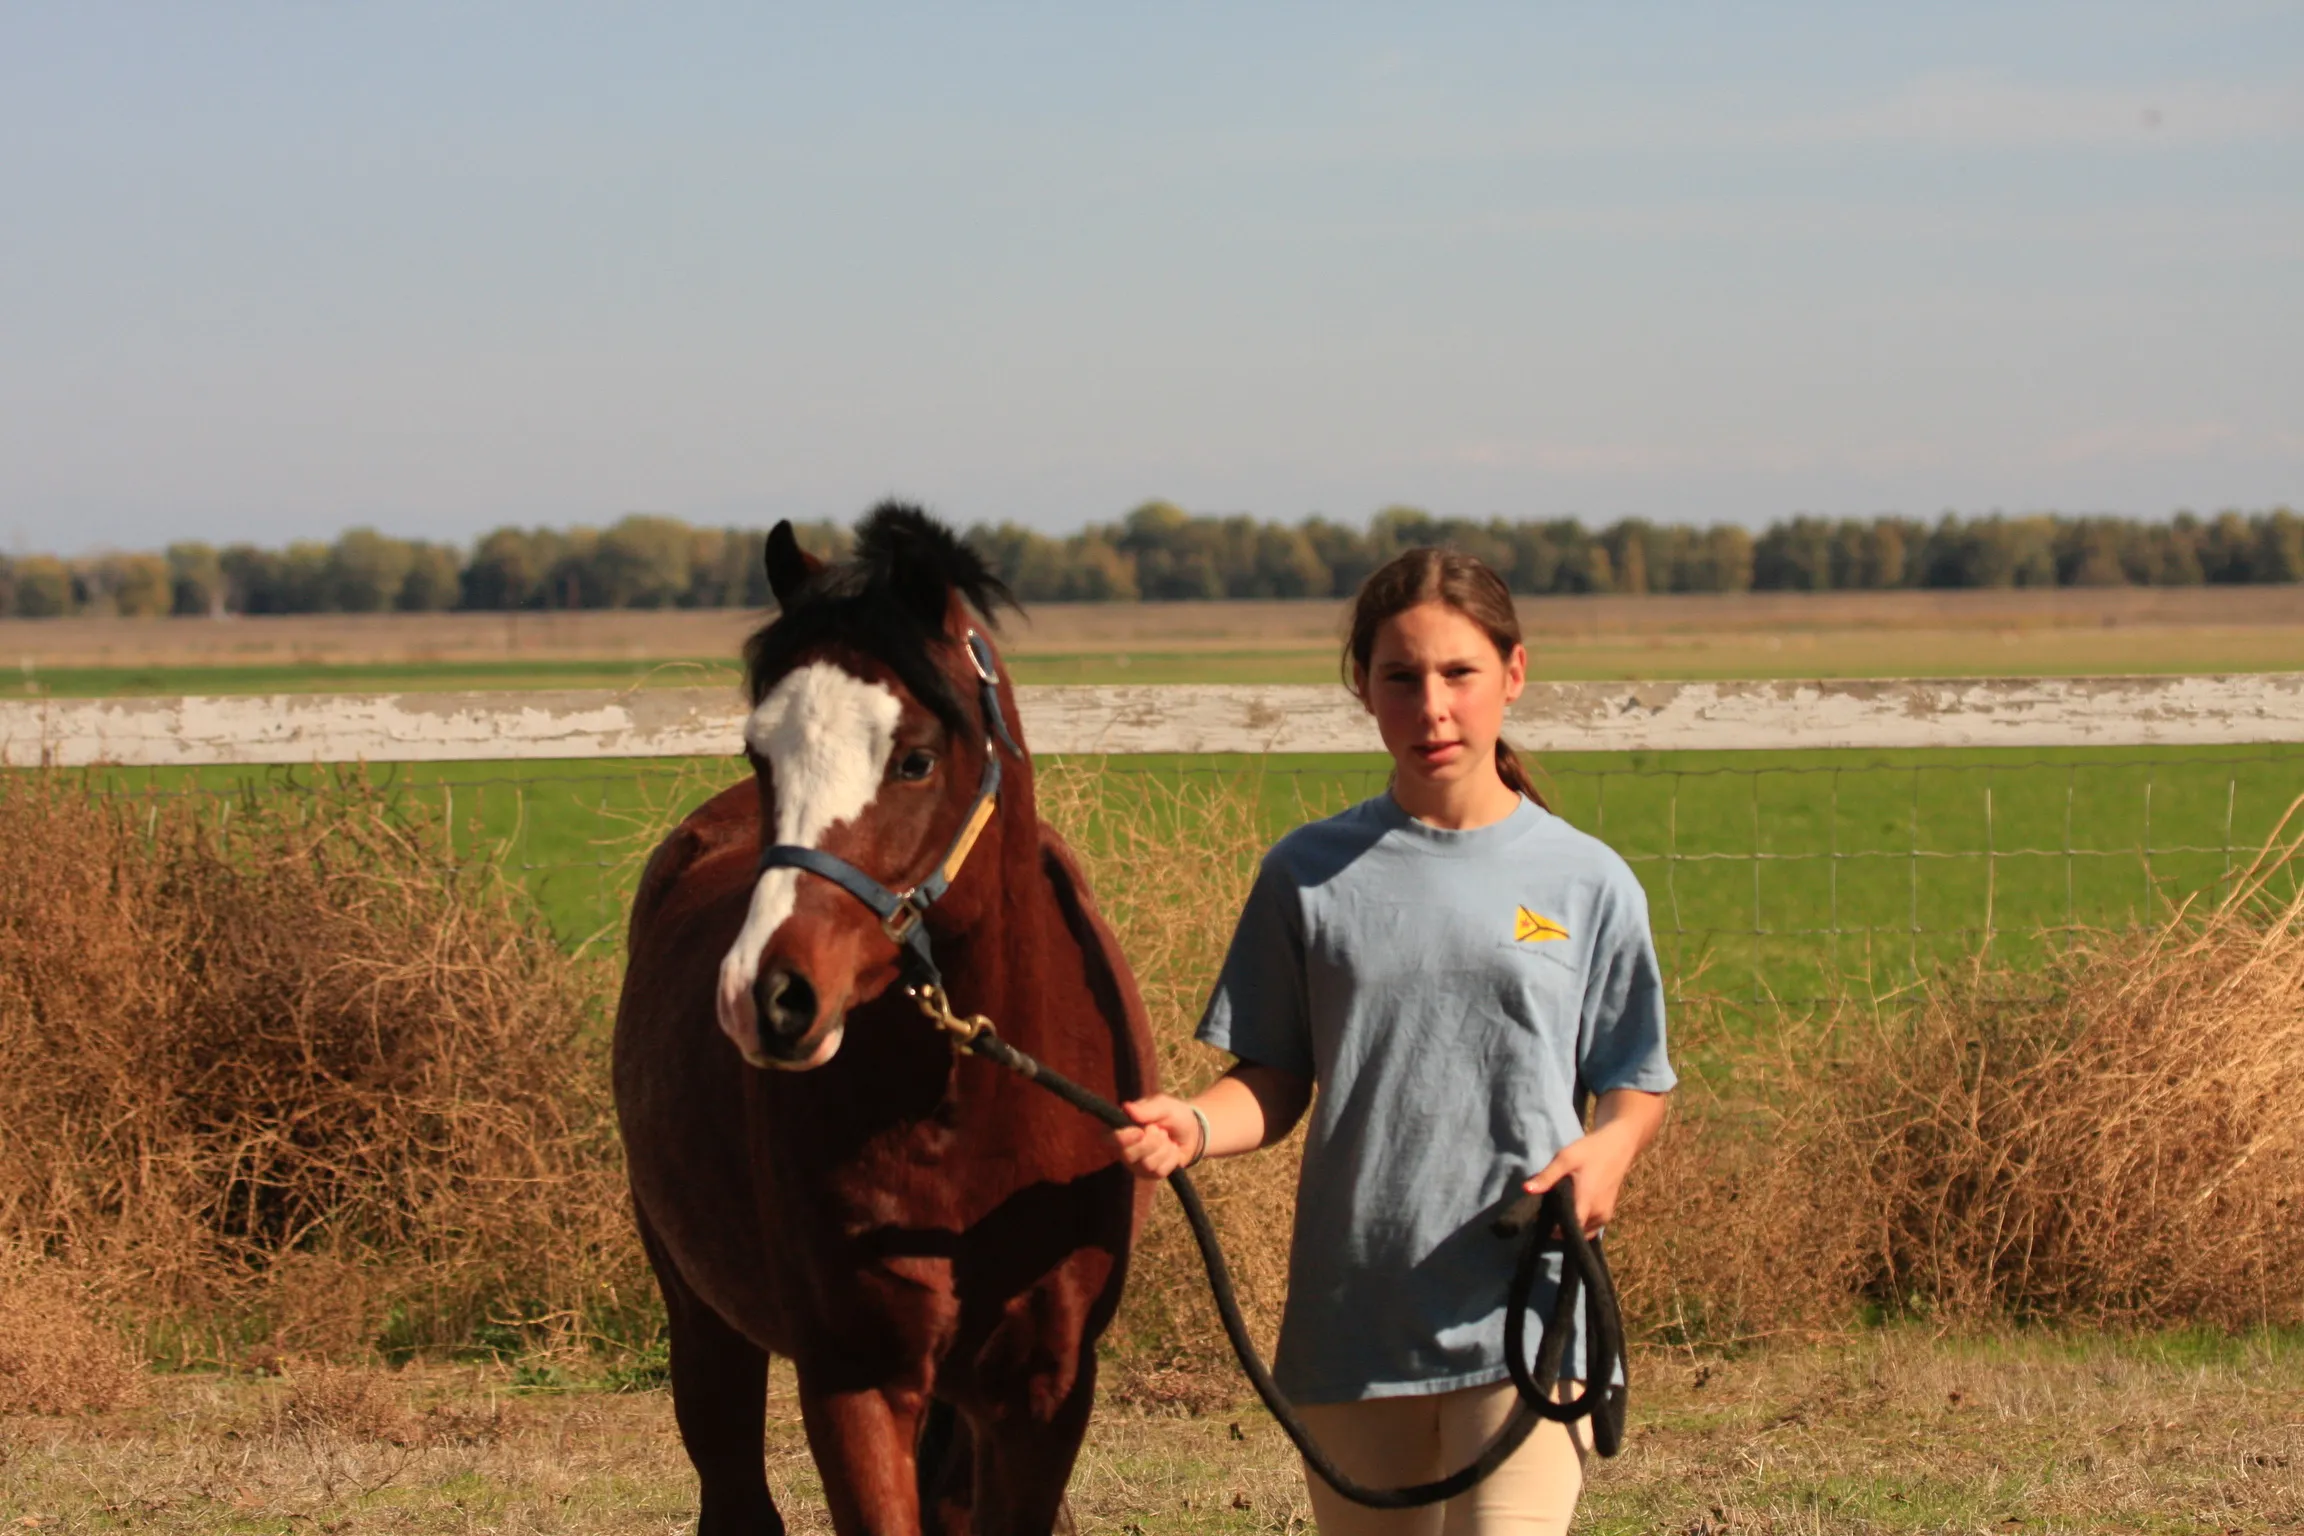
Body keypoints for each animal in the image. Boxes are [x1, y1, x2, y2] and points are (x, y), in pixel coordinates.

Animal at [613, 503, 1158, 1536]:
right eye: (760, 753)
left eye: (915, 757)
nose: (767, 995)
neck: (967, 1115)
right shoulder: (855, 1380)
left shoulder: (1042, 1393)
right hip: (703, 1321)